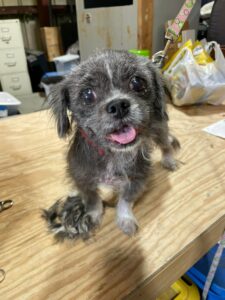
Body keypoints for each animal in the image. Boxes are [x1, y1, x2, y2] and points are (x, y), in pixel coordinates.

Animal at [43, 49, 180, 241]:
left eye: (137, 82)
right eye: (87, 94)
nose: (118, 105)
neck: (112, 154)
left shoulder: (138, 178)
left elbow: (125, 201)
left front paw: (125, 219)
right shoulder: (81, 178)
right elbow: (92, 200)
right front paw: (91, 216)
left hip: (159, 127)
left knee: (166, 144)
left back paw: (169, 160)